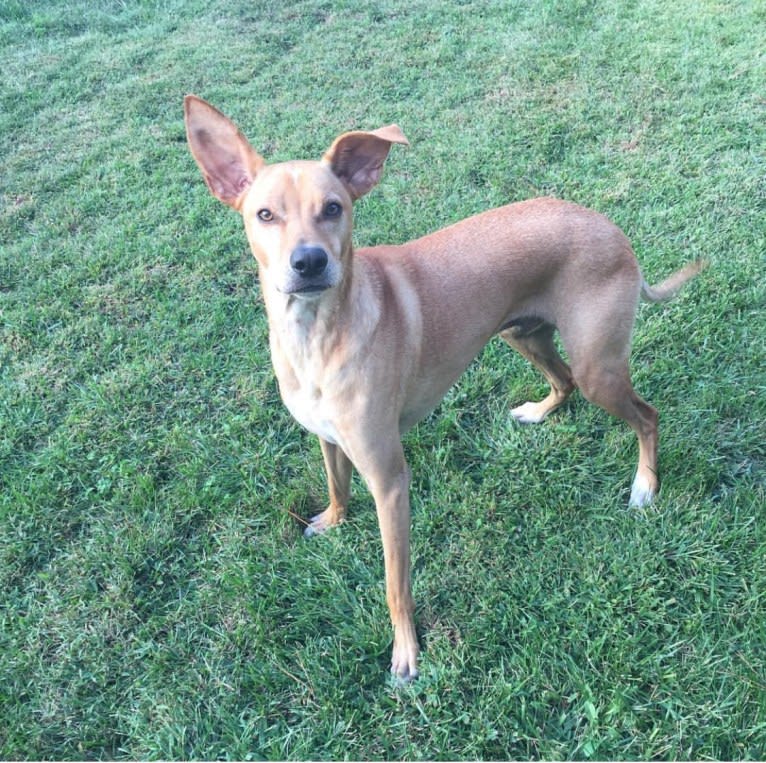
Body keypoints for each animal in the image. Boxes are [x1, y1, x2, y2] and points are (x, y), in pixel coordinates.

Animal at [184, 94, 708, 680]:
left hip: (600, 368)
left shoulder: (390, 481)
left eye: (333, 208)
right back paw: (539, 411)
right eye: (264, 215)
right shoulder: (328, 438)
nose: (310, 261)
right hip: (522, 335)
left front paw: (406, 652)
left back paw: (644, 486)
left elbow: (396, 583)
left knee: (646, 414)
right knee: (564, 381)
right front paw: (335, 520)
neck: (318, 335)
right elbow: (337, 484)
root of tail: (612, 228)